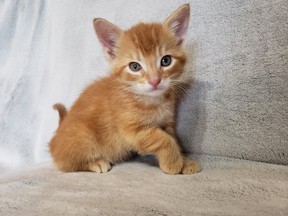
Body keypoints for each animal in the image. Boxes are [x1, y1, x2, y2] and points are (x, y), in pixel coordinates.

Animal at [49, 3, 200, 174]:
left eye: (166, 60)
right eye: (135, 66)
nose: (155, 81)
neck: (152, 101)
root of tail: (54, 139)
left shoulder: (166, 123)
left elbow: (172, 138)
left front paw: (184, 162)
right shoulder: (131, 130)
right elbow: (162, 139)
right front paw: (173, 163)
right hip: (83, 136)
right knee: (66, 163)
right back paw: (96, 162)